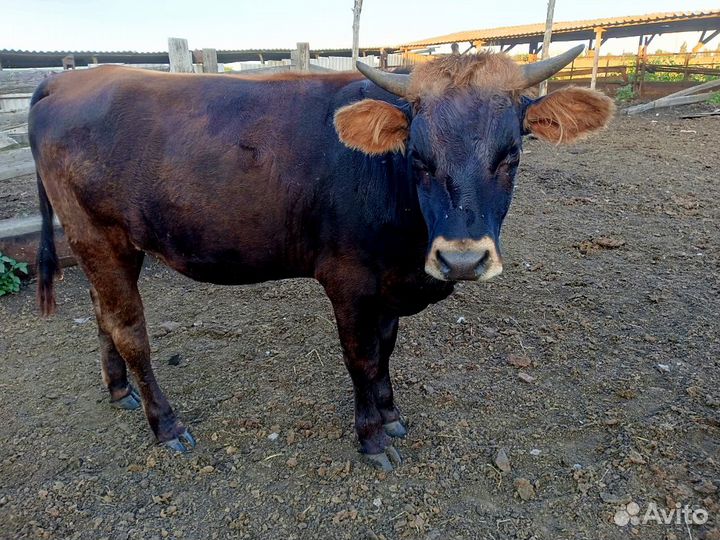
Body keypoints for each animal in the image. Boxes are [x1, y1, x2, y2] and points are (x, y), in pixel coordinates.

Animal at [29, 45, 613, 470]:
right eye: (419, 158)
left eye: (510, 155)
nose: (463, 261)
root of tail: (68, 80)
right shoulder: (348, 280)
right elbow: (363, 359)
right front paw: (373, 439)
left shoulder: (388, 284)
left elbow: (386, 350)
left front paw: (391, 414)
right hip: (98, 236)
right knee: (130, 330)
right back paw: (166, 424)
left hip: (106, 246)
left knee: (104, 316)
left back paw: (119, 391)